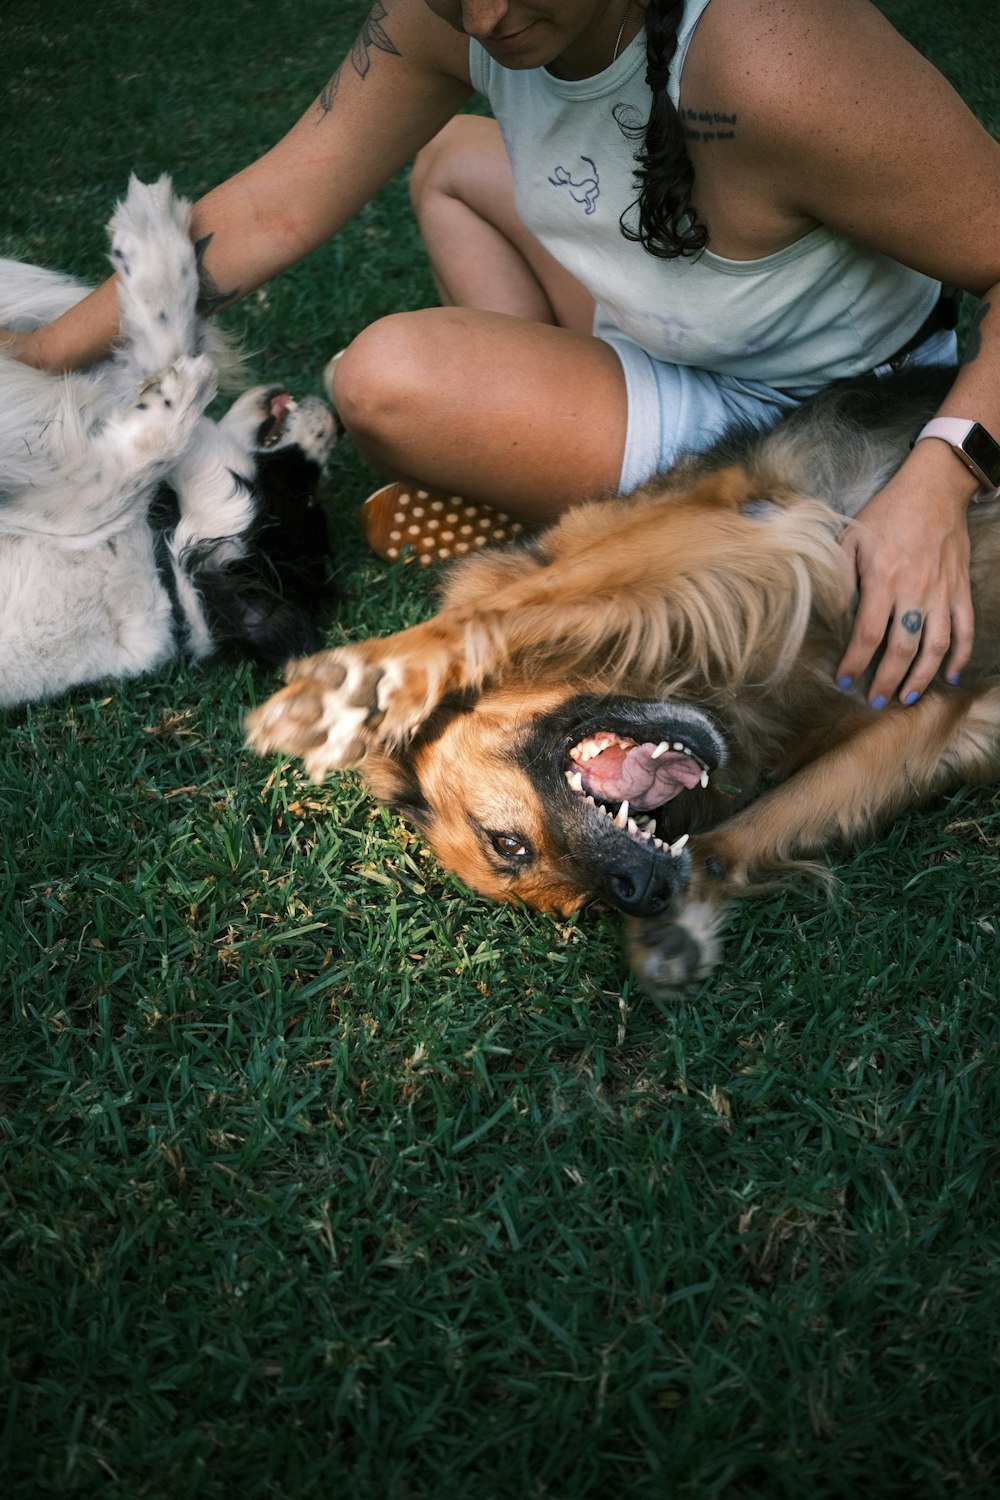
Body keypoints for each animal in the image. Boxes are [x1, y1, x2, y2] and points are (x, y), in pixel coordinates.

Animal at [244, 366, 1000, 996]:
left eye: (506, 844)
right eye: (585, 904)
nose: (641, 890)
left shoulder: (748, 529)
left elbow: (515, 604)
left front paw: (362, 682)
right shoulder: (933, 705)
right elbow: (759, 825)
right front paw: (680, 919)